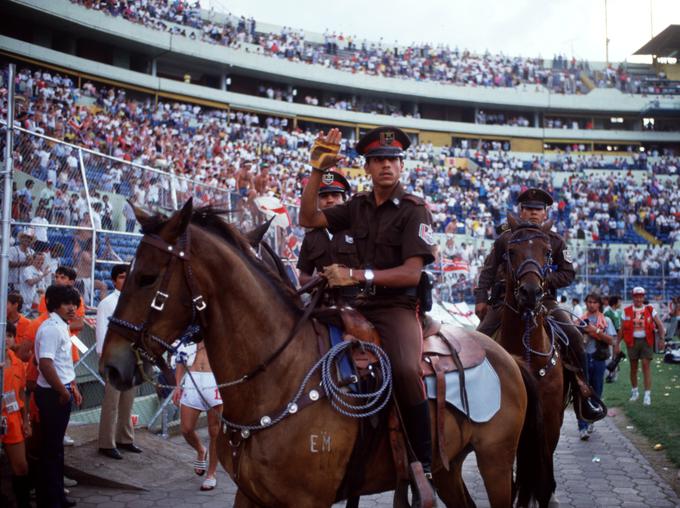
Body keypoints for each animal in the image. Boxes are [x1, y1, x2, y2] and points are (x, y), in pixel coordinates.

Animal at [101, 202, 556, 508]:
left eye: (146, 278)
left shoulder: (307, 501)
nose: (112, 364)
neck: (279, 372)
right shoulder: (251, 496)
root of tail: (508, 358)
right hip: (449, 468)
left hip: (496, 461)